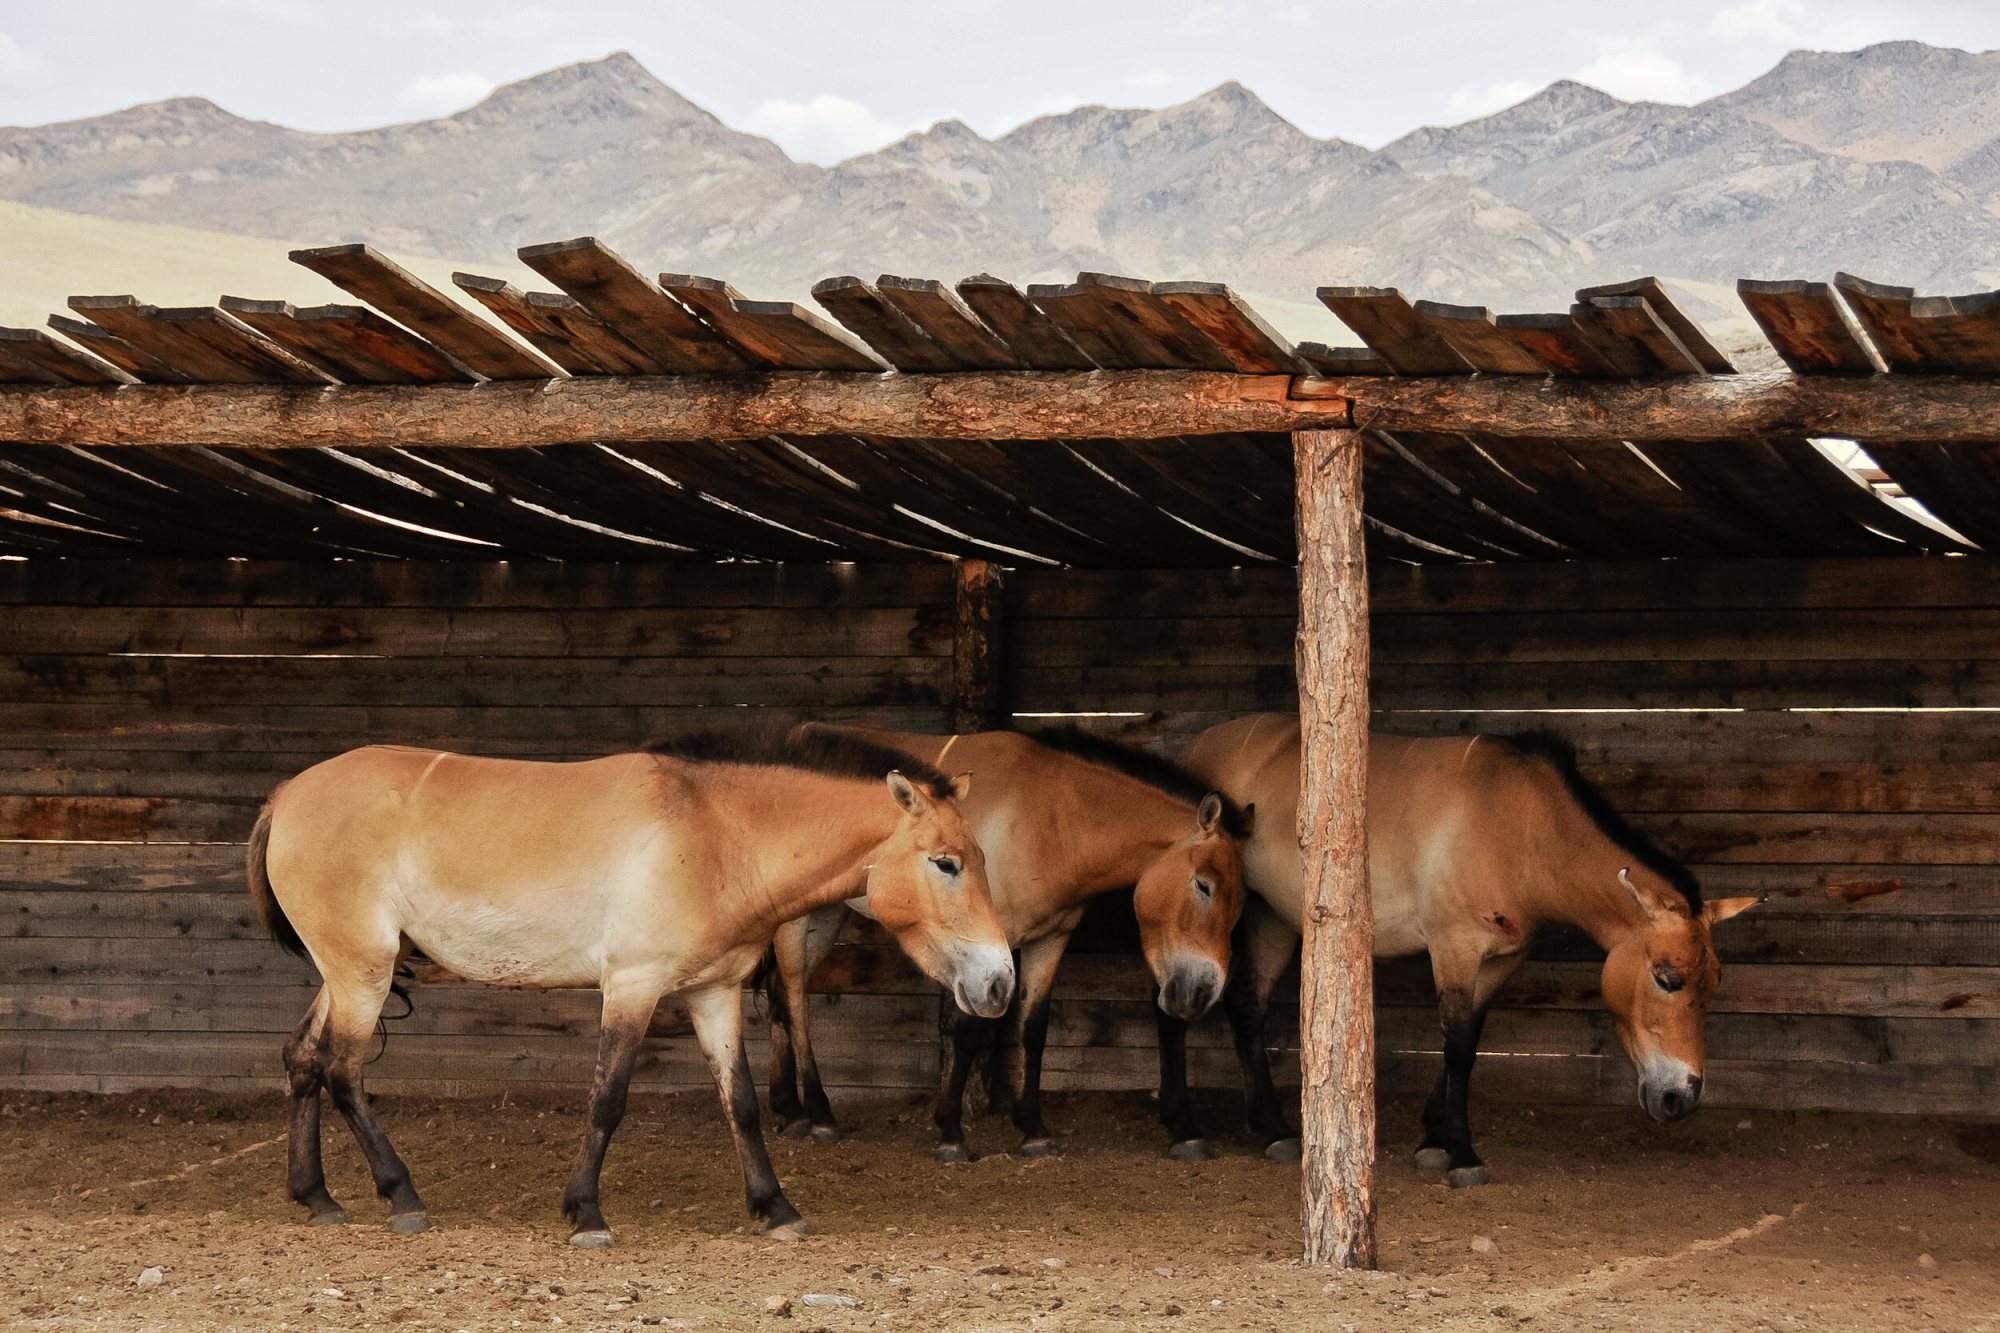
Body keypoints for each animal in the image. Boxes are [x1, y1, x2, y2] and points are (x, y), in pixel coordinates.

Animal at [246, 720, 1016, 1240]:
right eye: (946, 862)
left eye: (980, 858)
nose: (1000, 982)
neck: (716, 835)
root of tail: (286, 794)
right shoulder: (633, 986)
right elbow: (609, 1098)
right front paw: (586, 1212)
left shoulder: (714, 993)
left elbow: (741, 1104)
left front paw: (776, 1207)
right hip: (362, 971)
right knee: (342, 1070)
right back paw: (401, 1195)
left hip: (346, 971)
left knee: (303, 1058)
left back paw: (316, 1197)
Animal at [764, 720, 1248, 1160]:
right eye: (1204, 885)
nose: (1204, 992)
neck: (1051, 819)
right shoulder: (986, 948)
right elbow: (968, 1030)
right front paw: (951, 1133)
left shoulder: (1049, 940)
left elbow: (1033, 1029)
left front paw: (1033, 1129)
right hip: (796, 919)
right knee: (793, 998)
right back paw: (819, 1116)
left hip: (826, 912)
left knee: (780, 995)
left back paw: (790, 1110)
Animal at [1160, 716, 1752, 1184]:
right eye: (1666, 977)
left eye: (1715, 984)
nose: (1681, 1099)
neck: (1521, 827)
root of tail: (1194, 750)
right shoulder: (1454, 948)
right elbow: (1459, 1044)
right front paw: (1462, 1155)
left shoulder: (1499, 960)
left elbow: (1467, 1039)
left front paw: (1432, 1139)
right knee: (1173, 1002)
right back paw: (1183, 1129)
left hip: (1272, 917)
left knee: (1247, 1006)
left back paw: (1274, 1129)